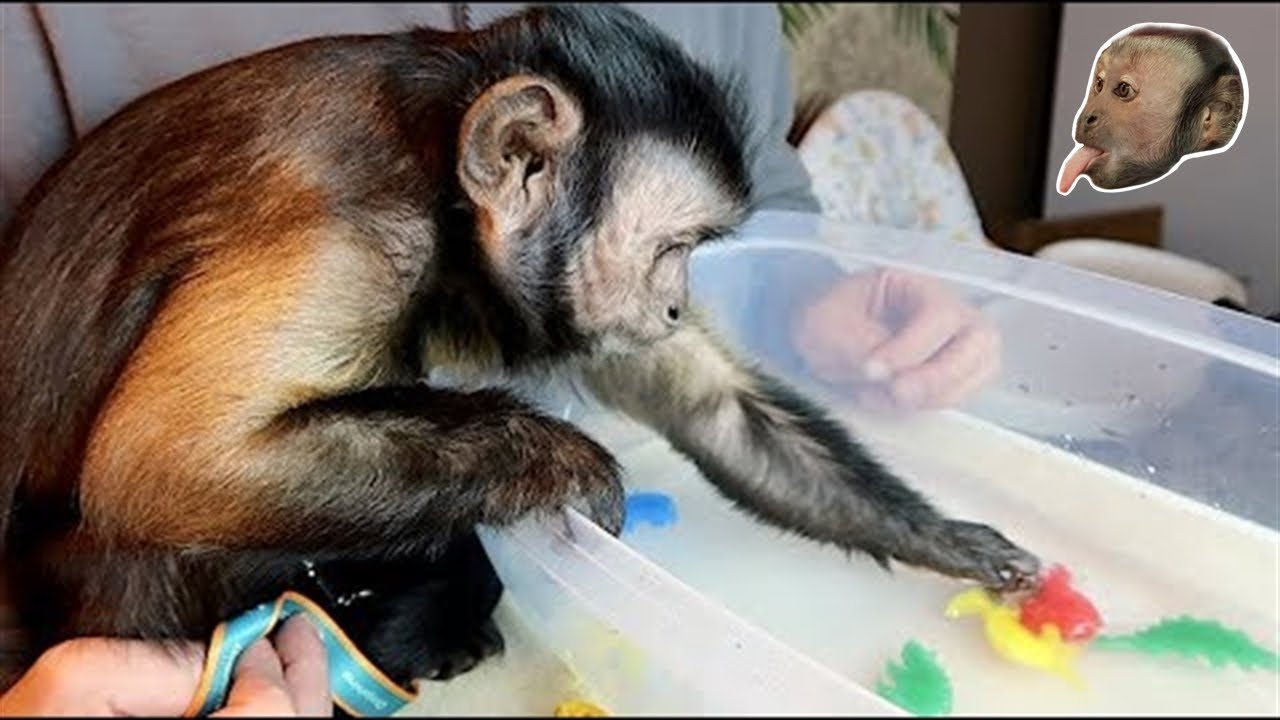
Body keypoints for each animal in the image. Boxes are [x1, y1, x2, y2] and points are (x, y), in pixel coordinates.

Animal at [0, 4, 1041, 697]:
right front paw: (566, 463)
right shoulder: (350, 233)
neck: (435, 175)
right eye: (672, 249)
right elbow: (166, 462)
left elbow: (718, 411)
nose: (674, 306)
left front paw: (955, 544)